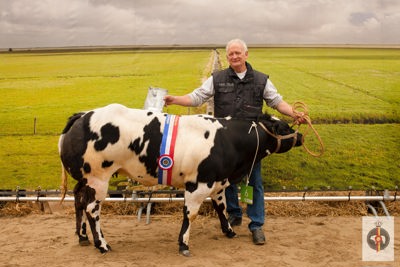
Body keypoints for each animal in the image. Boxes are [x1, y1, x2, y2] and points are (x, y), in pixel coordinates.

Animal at [58, 103, 304, 256]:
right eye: (284, 127)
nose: (300, 135)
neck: (228, 140)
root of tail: (83, 115)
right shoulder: (198, 184)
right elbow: (190, 215)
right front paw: (183, 244)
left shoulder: (217, 183)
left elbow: (221, 208)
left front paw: (229, 231)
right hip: (98, 178)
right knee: (92, 209)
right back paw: (102, 244)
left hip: (84, 180)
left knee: (78, 201)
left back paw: (82, 237)